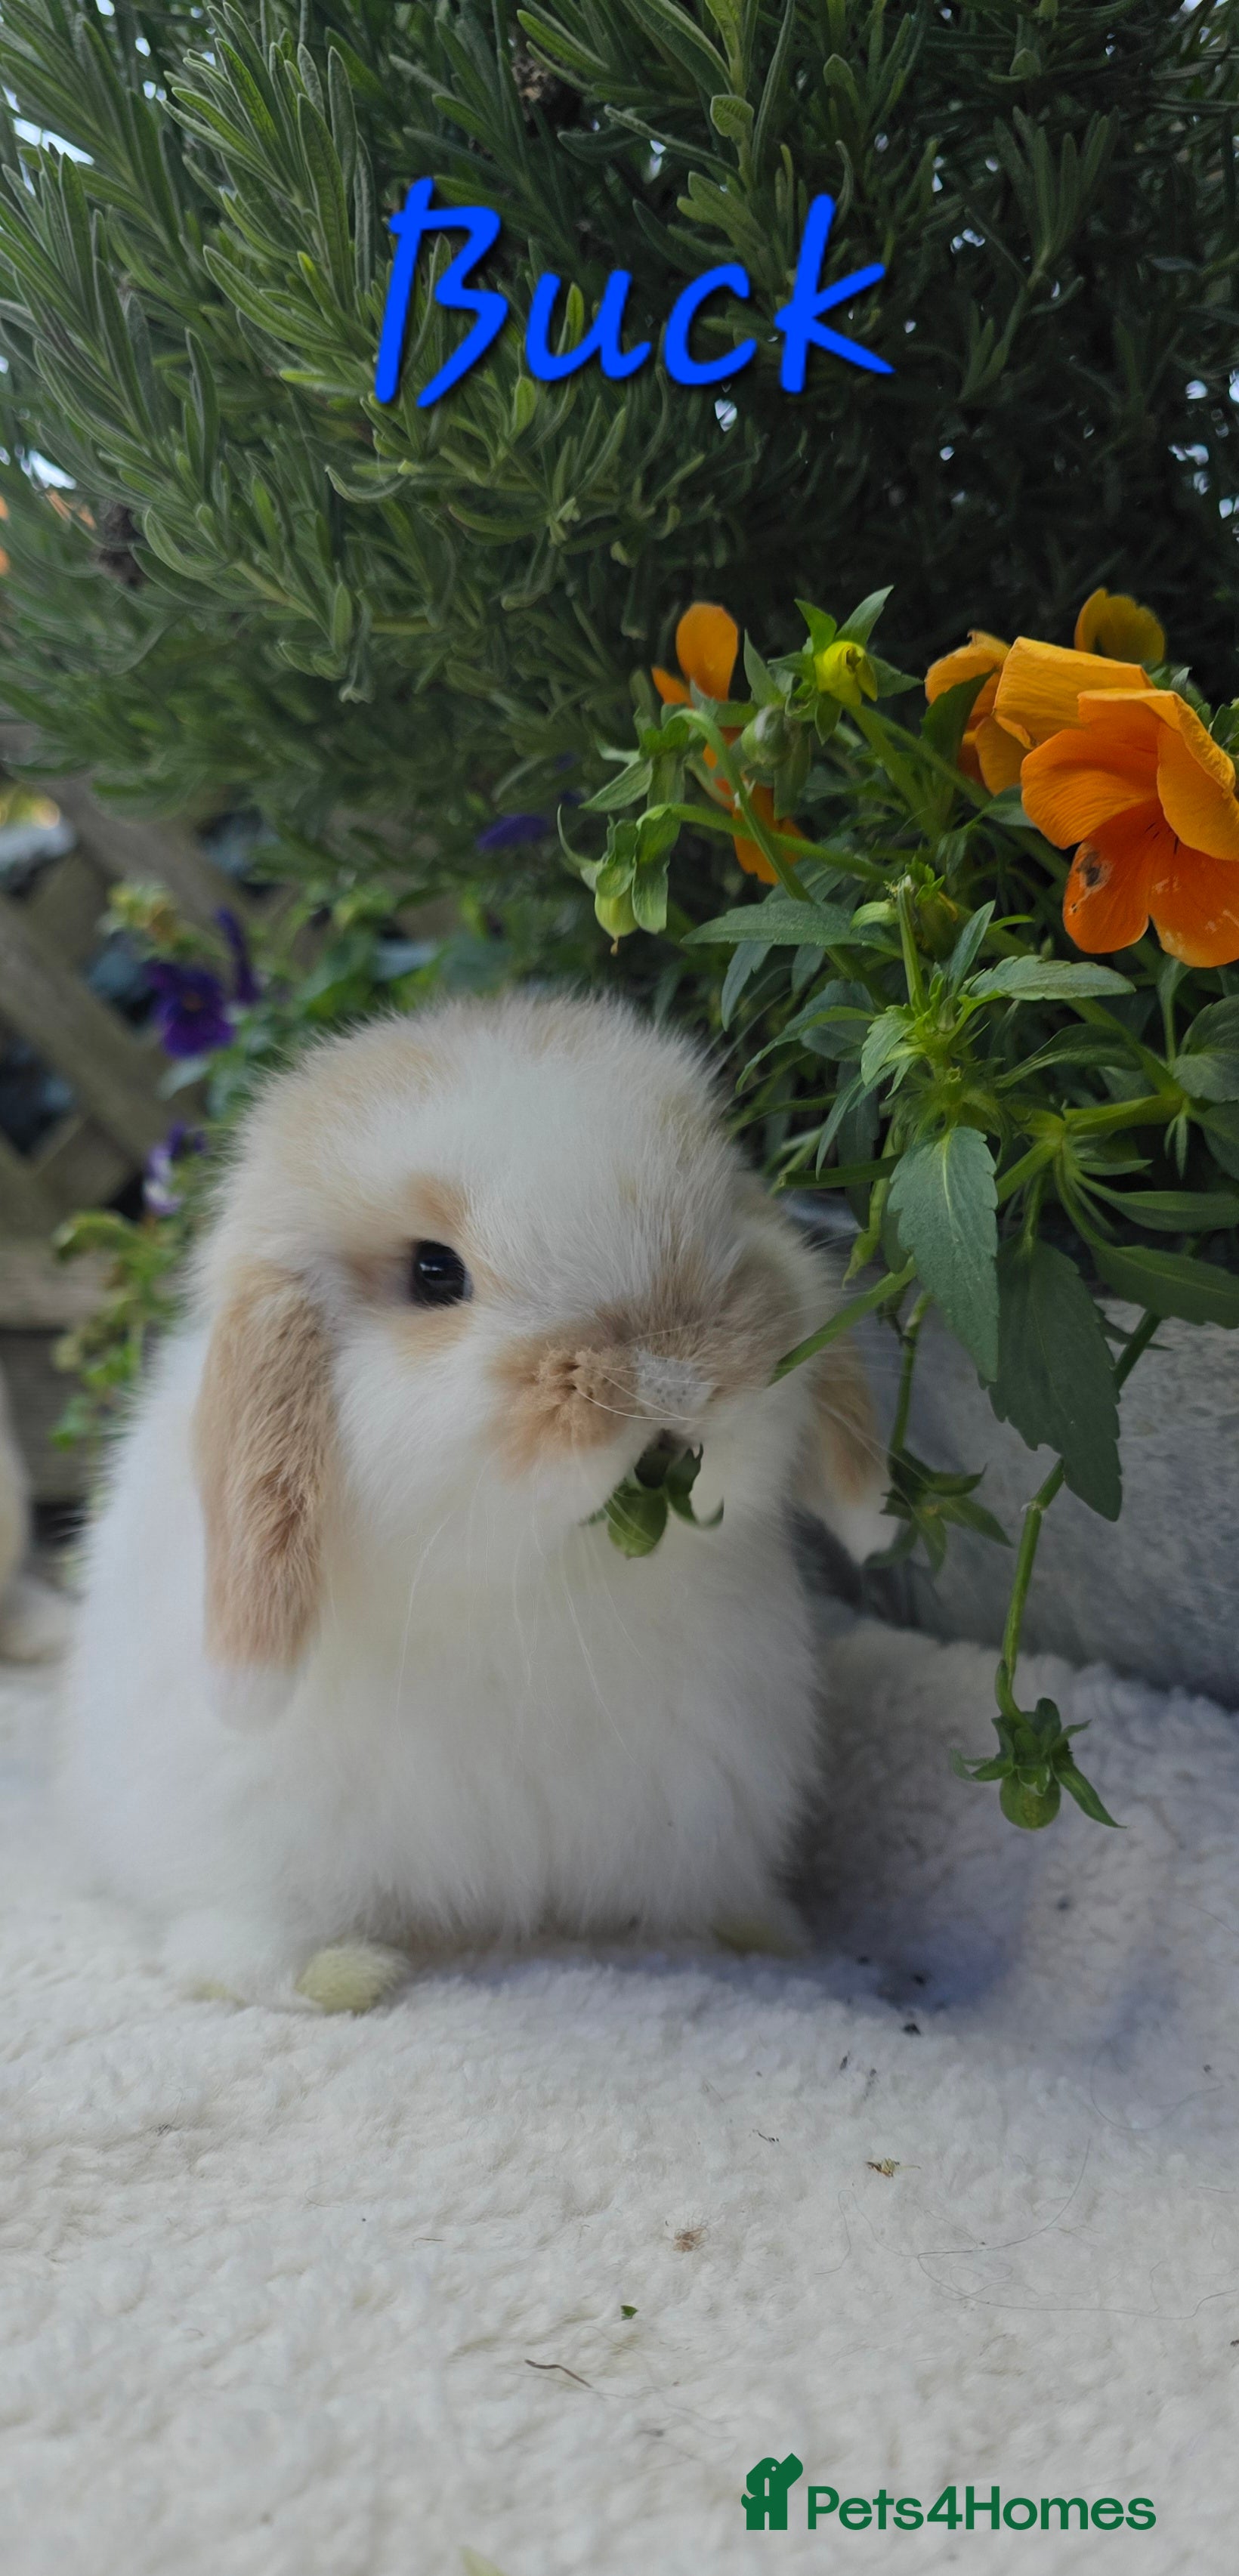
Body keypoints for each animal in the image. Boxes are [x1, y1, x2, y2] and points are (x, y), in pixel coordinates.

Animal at [63, 991, 888, 2010]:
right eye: (433, 1273)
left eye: (719, 1206)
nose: (677, 1379)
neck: (548, 1591)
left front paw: (773, 1937)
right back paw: (349, 1973)